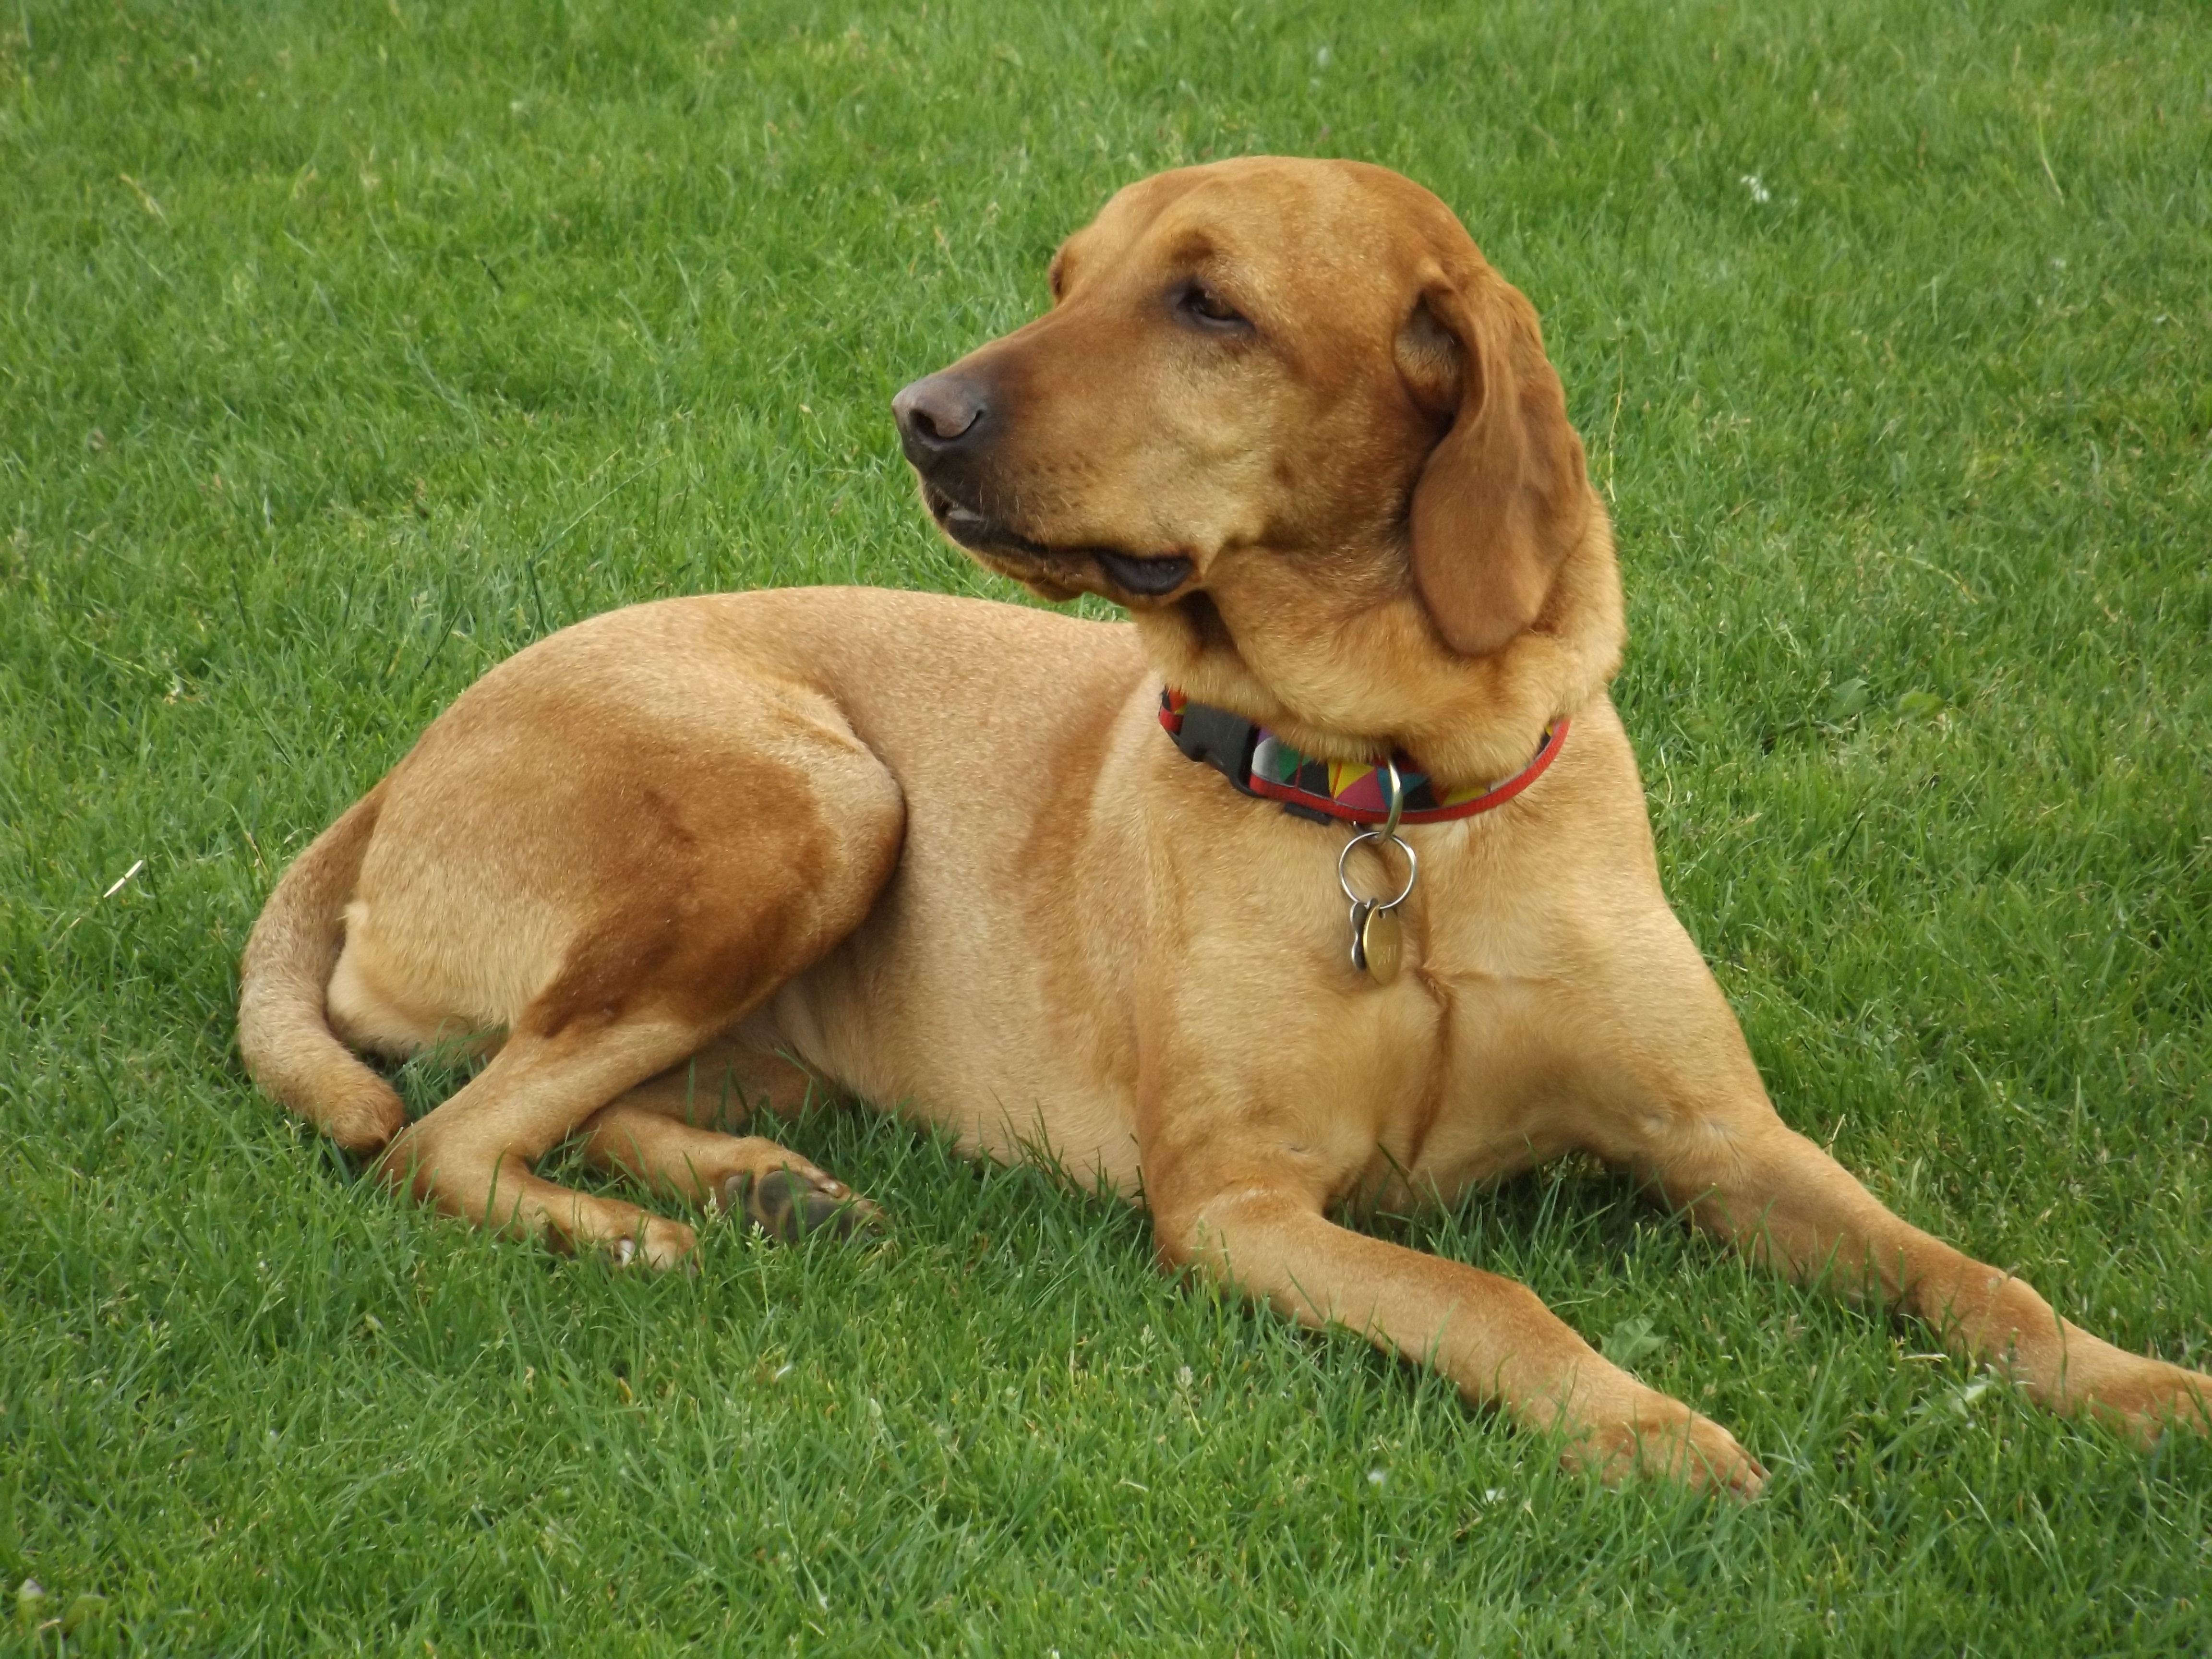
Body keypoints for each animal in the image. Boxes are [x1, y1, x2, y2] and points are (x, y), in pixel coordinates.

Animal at [239, 157, 2209, 1493]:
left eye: (1209, 306)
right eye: (1065, 278)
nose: (918, 415)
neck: (1399, 802)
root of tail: (398, 770)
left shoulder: (1724, 1139)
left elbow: (1969, 1273)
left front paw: (2135, 1383)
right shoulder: (1239, 1203)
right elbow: (1492, 1300)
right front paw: (1645, 1424)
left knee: (582, 1097)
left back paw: (758, 1189)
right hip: (821, 799)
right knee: (441, 1138)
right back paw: (653, 1235)